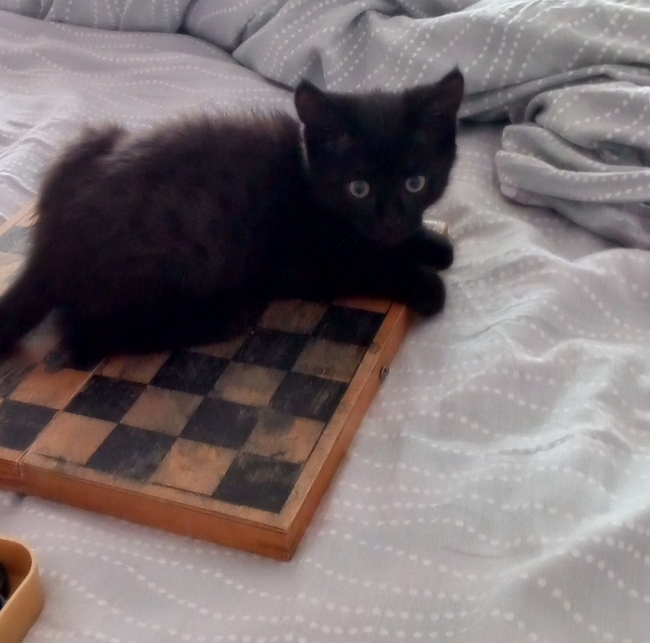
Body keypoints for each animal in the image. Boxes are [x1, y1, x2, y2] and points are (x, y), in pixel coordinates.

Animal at [0, 69, 463, 366]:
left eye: (416, 182)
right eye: (358, 188)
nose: (391, 220)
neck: (307, 178)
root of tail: (47, 247)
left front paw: (432, 245)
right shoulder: (309, 263)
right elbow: (372, 264)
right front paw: (424, 283)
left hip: (90, 140)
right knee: (85, 335)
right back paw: (219, 317)